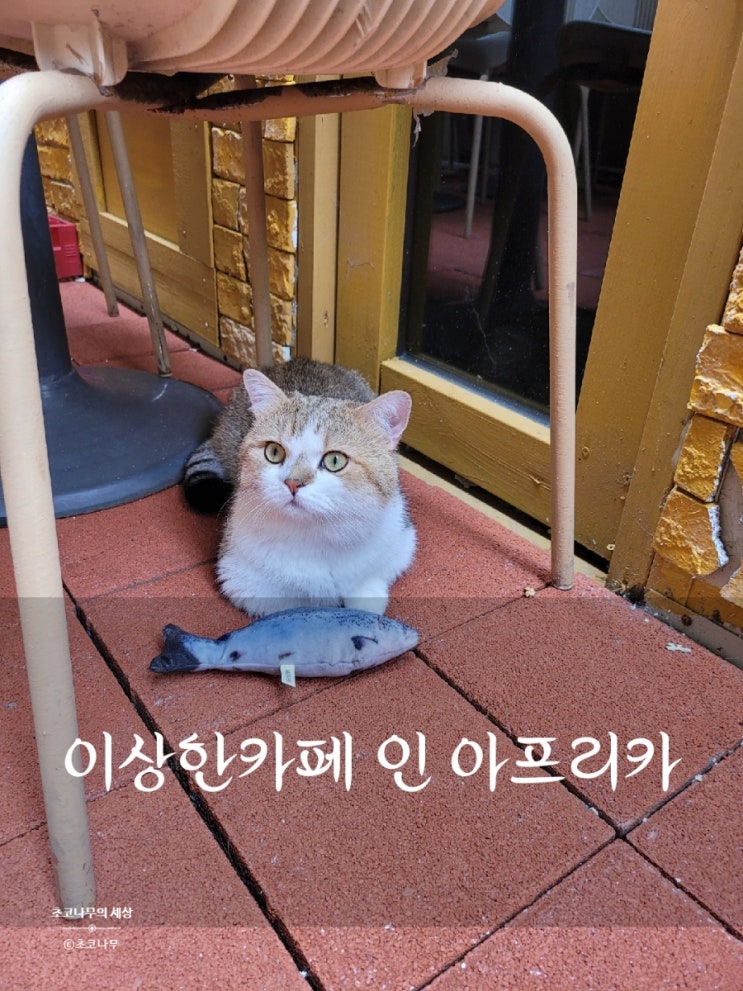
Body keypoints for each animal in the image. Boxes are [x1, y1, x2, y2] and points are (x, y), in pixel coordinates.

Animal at [183, 358, 416, 618]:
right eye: (274, 452)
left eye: (335, 460)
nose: (293, 483)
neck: (317, 535)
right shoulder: (240, 578)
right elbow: (294, 605)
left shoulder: (400, 543)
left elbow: (369, 590)